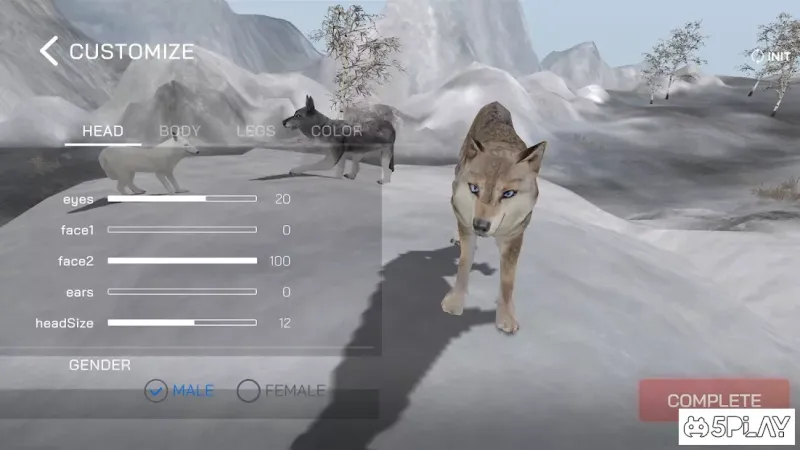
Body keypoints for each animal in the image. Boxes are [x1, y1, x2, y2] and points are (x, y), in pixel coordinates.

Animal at [441, 101, 547, 334]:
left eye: (508, 193)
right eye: (474, 188)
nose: (480, 225)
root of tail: (495, 104)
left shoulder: (514, 236)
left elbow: (508, 280)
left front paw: (506, 318)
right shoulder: (467, 226)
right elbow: (464, 264)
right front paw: (454, 303)